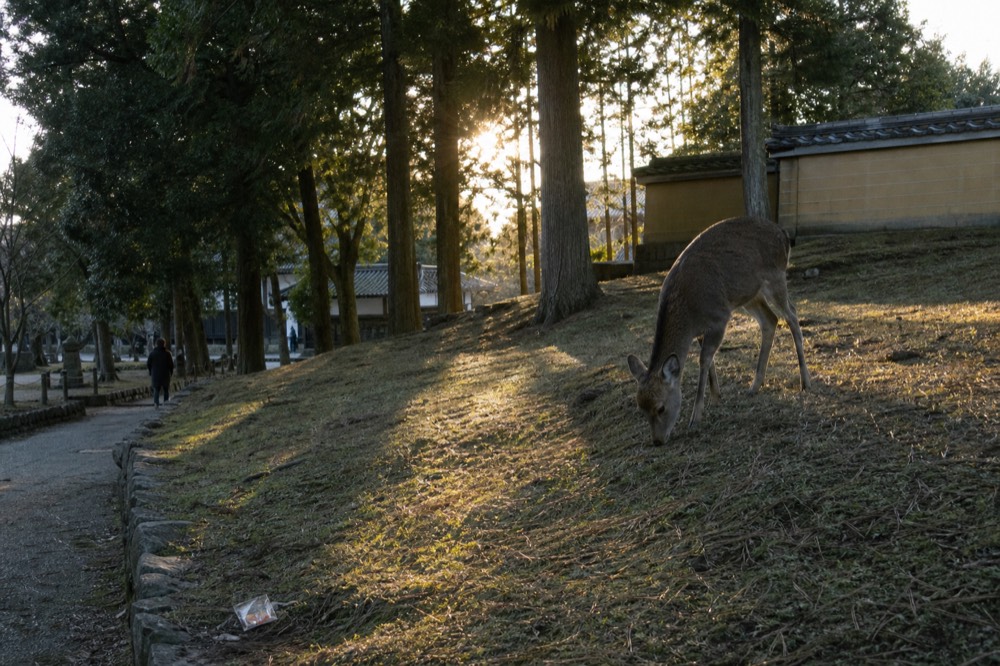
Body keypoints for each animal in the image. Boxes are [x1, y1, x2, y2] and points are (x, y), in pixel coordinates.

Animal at [627, 216, 811, 445]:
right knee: (770, 319)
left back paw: (805, 381)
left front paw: (695, 417)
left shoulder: (719, 317)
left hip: (776, 276)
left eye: (661, 407)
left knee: (792, 315)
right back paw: (754, 385)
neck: (689, 313)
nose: (658, 441)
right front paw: (716, 397)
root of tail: (784, 235)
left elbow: (704, 359)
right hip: (749, 294)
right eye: (641, 409)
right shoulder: (701, 329)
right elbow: (709, 361)